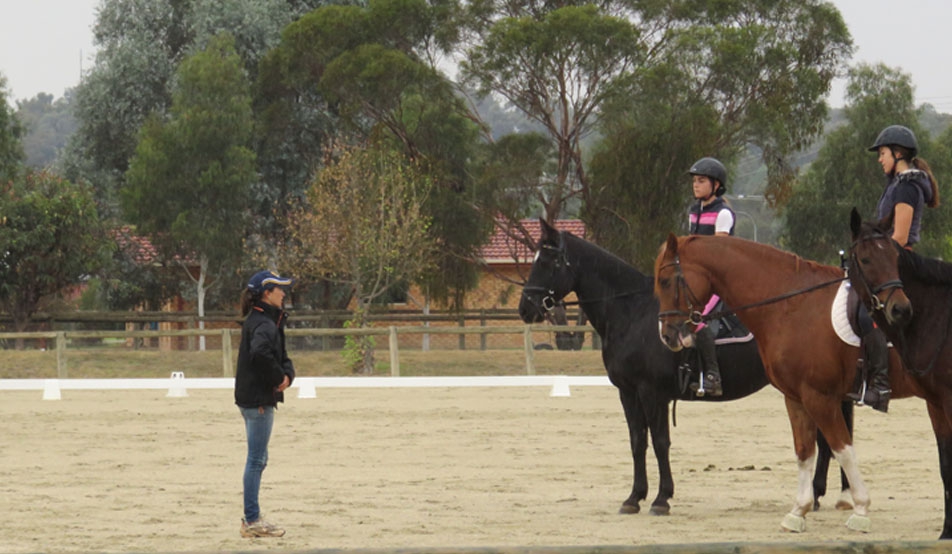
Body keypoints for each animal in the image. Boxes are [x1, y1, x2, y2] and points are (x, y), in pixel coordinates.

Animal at [516, 219, 852, 512]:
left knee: (831, 436)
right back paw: (833, 494)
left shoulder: (652, 392)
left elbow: (660, 441)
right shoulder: (628, 392)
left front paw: (661, 499)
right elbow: (637, 441)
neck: (632, 312)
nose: (525, 309)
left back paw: (827, 494)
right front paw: (634, 497)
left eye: (549, 262)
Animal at [656, 232, 916, 532]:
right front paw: (798, 512)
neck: (792, 306)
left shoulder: (820, 397)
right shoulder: (796, 397)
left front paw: (861, 510)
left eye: (665, 281)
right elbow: (804, 451)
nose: (667, 336)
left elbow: (843, 449)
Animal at [848, 206, 952, 536]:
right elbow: (946, 465)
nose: (901, 310)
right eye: (866, 259)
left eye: (895, 259)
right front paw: (947, 531)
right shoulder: (936, 404)